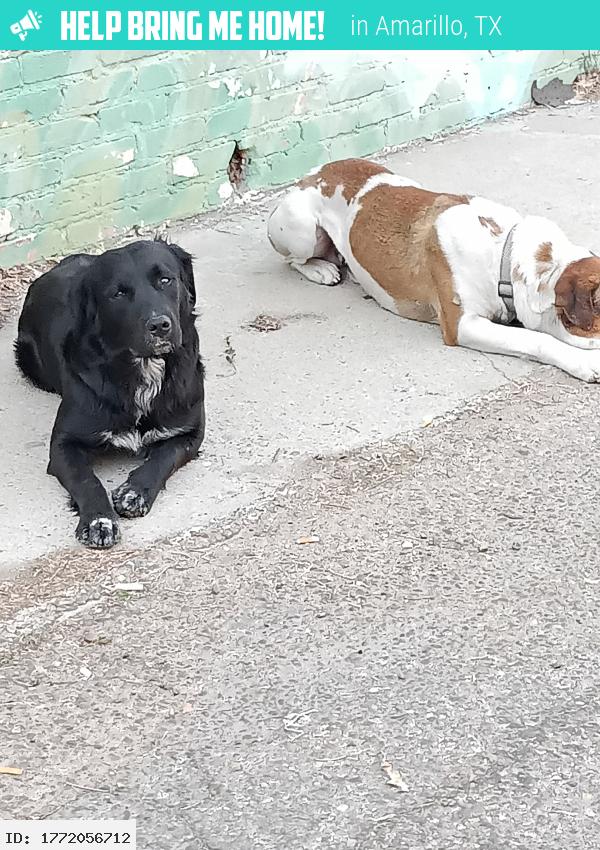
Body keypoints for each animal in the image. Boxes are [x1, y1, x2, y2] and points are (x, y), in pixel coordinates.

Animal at [15, 239, 205, 549]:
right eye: (118, 293)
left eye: (165, 280)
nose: (159, 326)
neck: (143, 369)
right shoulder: (63, 445)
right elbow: (87, 481)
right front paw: (98, 520)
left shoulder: (190, 432)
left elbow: (164, 457)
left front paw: (135, 491)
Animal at [268, 158, 600, 382]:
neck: (502, 252)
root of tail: (311, 174)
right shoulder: (463, 325)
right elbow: (536, 339)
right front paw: (584, 362)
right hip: (301, 230)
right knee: (292, 260)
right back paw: (321, 270)